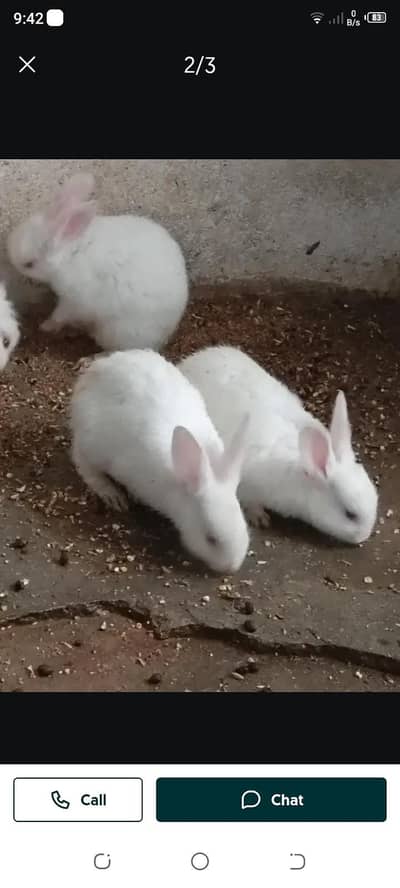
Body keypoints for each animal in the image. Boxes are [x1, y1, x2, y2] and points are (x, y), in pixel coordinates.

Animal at [7, 172, 189, 352]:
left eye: (29, 264)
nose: (11, 260)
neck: (70, 252)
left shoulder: (73, 301)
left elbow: (60, 315)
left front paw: (45, 326)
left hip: (116, 332)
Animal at [70, 349, 250, 573]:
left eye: (244, 528)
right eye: (211, 539)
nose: (231, 567)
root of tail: (91, 375)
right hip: (93, 443)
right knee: (81, 460)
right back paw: (111, 494)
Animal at [179, 346, 378, 545]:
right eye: (350, 514)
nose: (364, 536)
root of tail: (188, 361)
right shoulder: (246, 485)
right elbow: (251, 503)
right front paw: (260, 518)